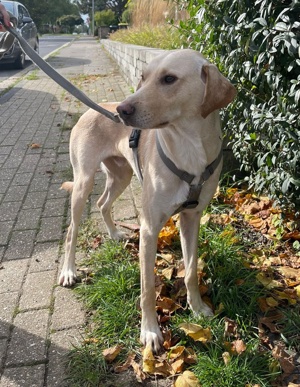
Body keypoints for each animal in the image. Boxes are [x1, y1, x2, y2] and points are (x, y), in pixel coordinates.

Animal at [59, 48, 237, 352]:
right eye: (143, 76)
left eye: (169, 79)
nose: (121, 111)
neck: (190, 149)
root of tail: (90, 110)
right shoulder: (150, 228)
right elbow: (147, 287)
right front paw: (150, 331)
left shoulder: (192, 218)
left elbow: (191, 270)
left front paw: (197, 307)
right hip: (83, 183)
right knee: (72, 230)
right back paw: (69, 271)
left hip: (122, 175)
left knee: (102, 203)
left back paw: (114, 233)